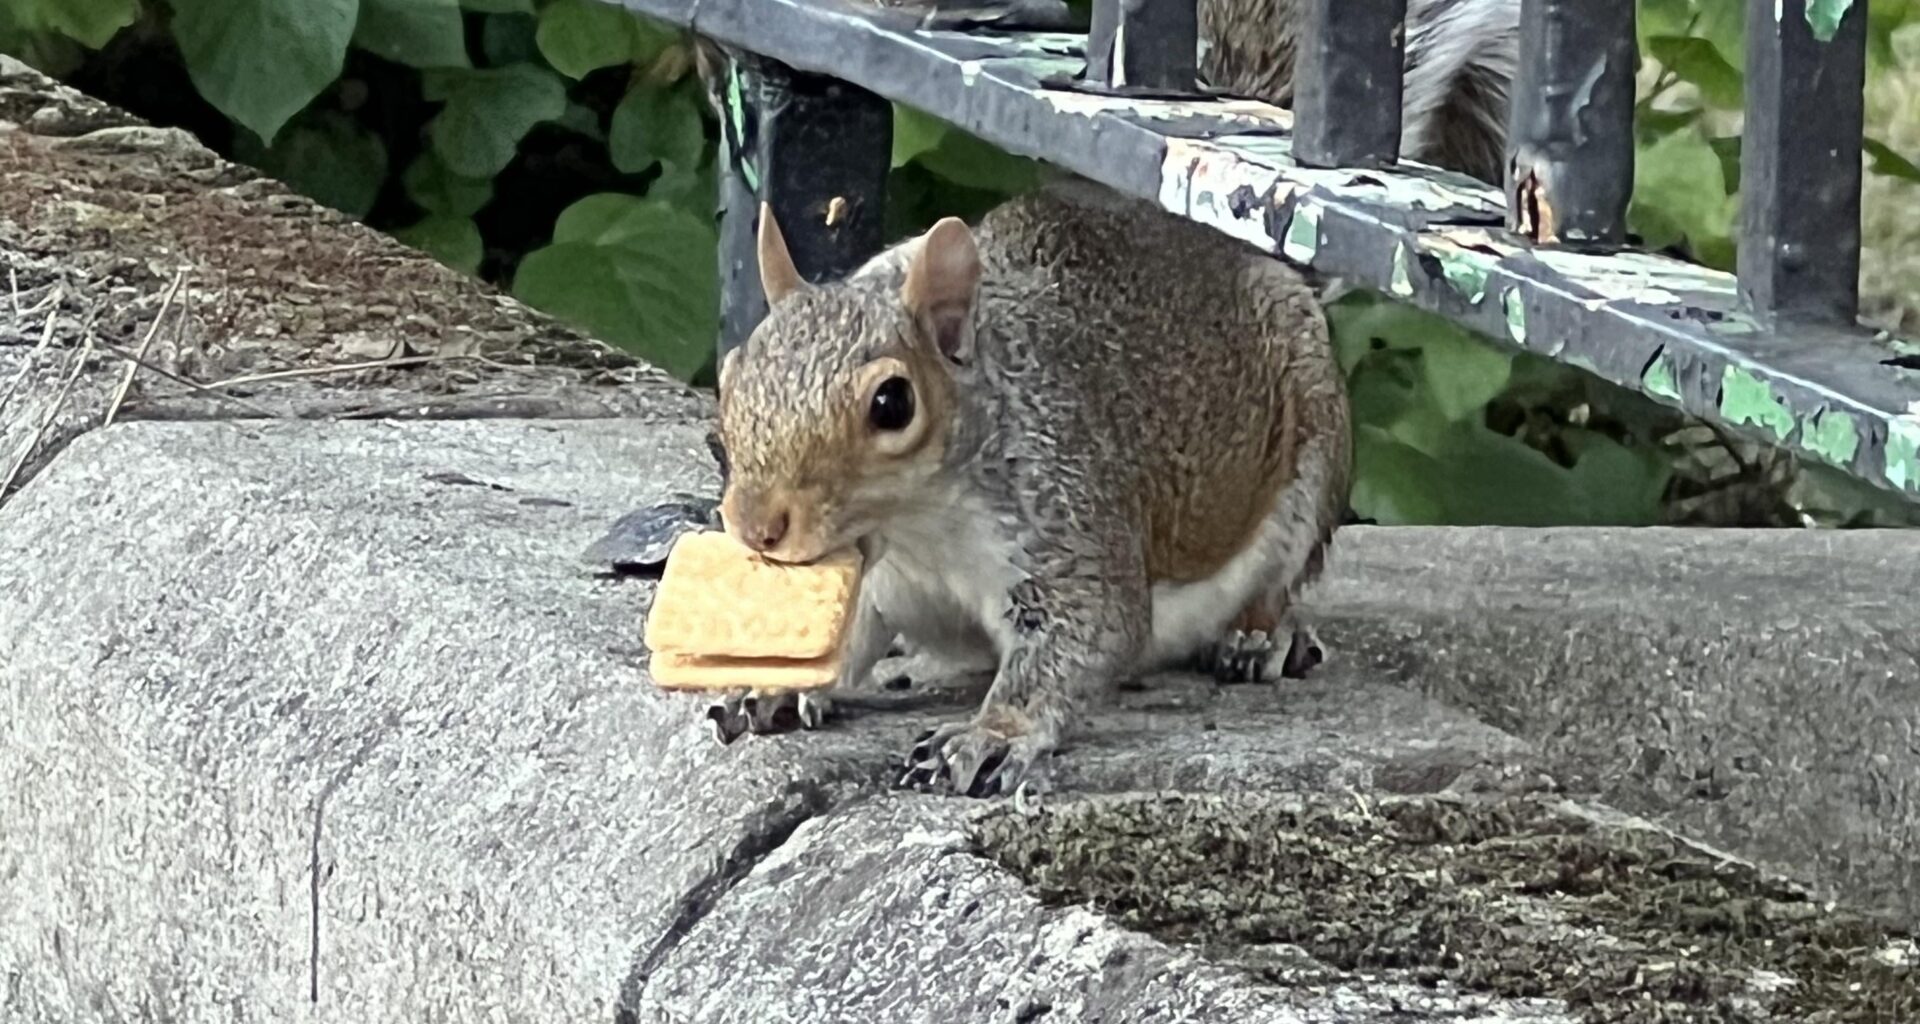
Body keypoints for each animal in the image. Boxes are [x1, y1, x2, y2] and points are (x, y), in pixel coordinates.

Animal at [706, 179, 1351, 795]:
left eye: (892, 404)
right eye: (731, 371)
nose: (756, 526)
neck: (913, 527)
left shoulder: (1061, 511)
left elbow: (1083, 632)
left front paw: (990, 736)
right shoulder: (870, 582)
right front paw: (775, 682)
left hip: (1313, 441)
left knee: (1277, 582)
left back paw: (1255, 637)